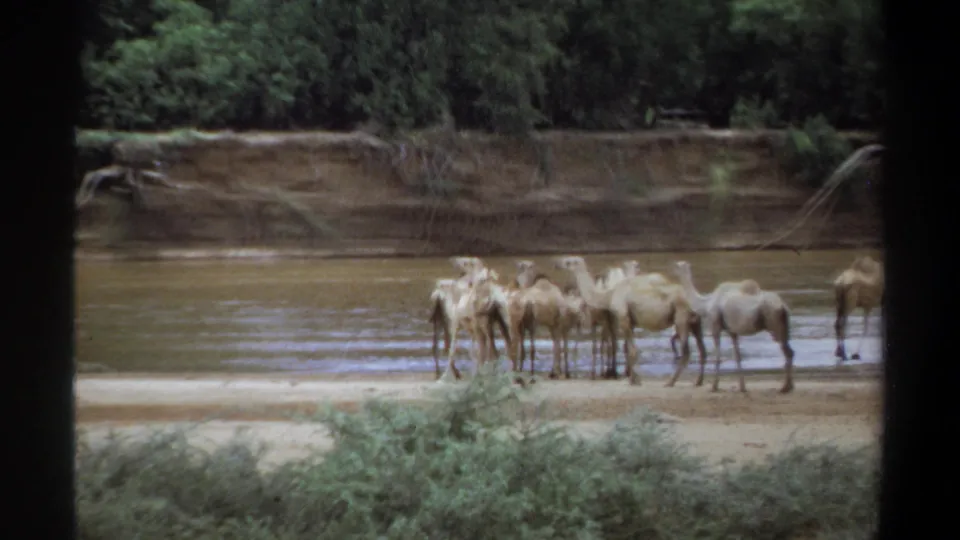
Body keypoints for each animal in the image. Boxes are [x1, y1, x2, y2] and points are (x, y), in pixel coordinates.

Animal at [554, 256, 704, 386]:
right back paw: (698, 381)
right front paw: (634, 378)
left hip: (681, 318)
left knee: (686, 351)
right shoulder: (630, 322)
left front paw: (633, 380)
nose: (557, 263)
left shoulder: (623, 317)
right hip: (695, 322)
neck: (609, 295)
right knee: (702, 349)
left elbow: (631, 350)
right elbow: (629, 349)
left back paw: (670, 382)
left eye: (568, 261)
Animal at [671, 260, 795, 393]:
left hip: (774, 324)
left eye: (677, 266)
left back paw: (785, 387)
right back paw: (789, 386)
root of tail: (782, 306)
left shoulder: (715, 325)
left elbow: (718, 357)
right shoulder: (732, 331)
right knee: (790, 351)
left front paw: (714, 387)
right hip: (783, 325)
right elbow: (738, 356)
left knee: (787, 351)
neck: (706, 304)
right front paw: (742, 387)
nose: (671, 268)